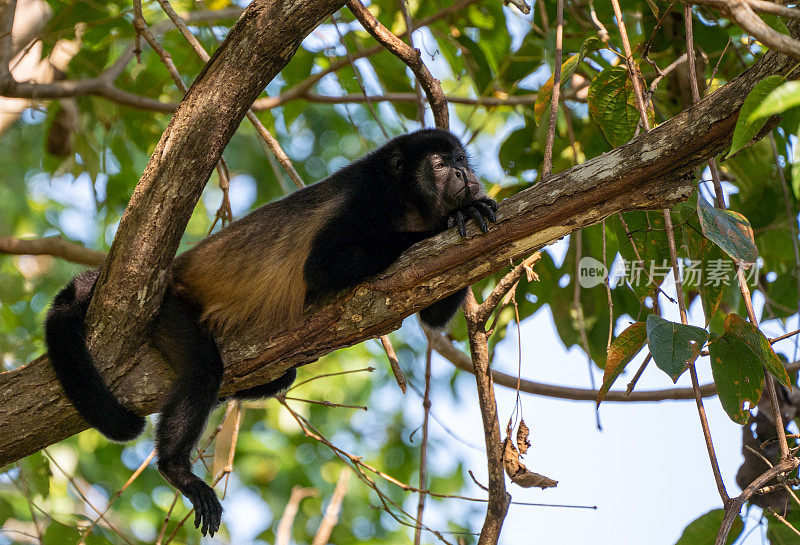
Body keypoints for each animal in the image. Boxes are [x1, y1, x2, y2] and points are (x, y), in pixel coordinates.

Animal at [43, 129, 496, 536]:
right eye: (440, 164)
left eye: (460, 159)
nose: (464, 174)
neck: (408, 198)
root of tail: (170, 272)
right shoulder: (370, 198)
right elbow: (321, 267)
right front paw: (455, 216)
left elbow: (434, 313)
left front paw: (470, 213)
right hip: (165, 307)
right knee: (205, 369)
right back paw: (176, 468)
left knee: (276, 377)